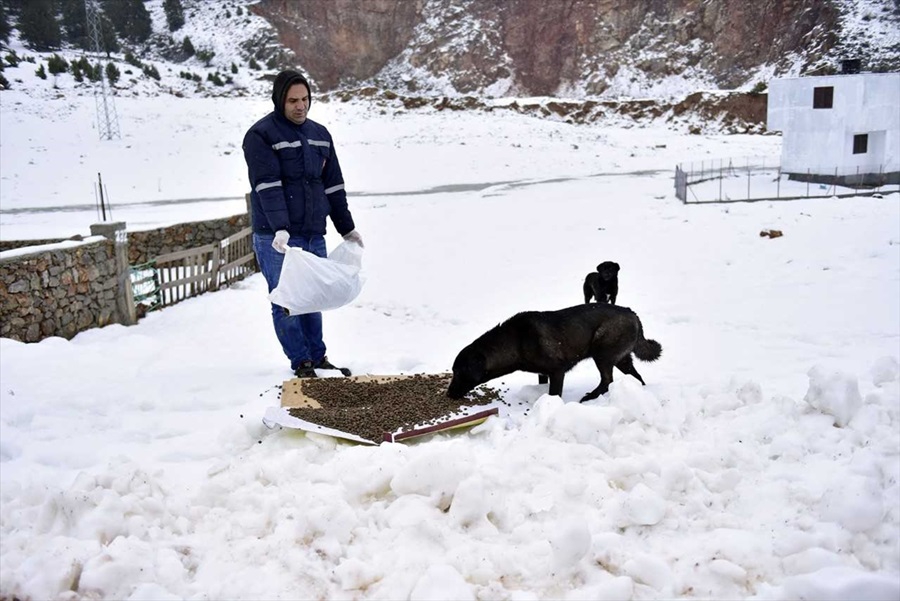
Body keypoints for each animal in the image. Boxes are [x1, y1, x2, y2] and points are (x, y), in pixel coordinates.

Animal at [444, 308, 660, 400]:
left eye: (459, 372)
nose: (448, 394)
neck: (515, 341)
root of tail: (634, 315)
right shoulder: (543, 373)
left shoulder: (557, 371)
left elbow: (554, 393)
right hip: (622, 359)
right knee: (636, 376)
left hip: (602, 353)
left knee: (607, 379)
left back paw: (590, 397)